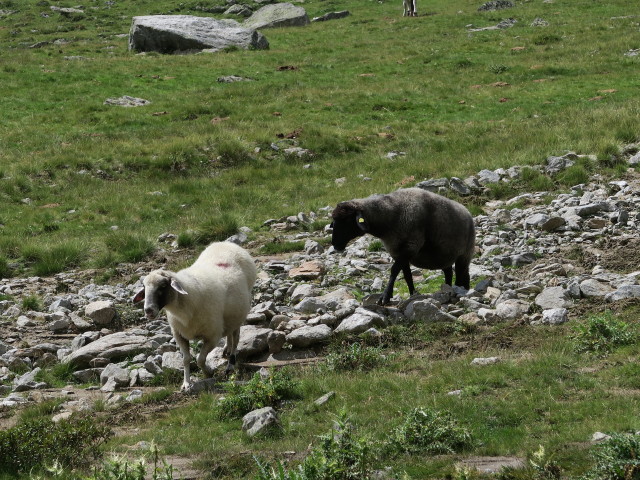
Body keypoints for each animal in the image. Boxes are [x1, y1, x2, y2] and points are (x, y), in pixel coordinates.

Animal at [134, 242, 256, 392]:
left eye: (163, 286)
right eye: (144, 287)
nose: (148, 311)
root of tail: (227, 243)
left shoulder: (212, 336)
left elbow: (200, 359)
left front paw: (208, 372)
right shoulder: (179, 334)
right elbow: (186, 359)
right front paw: (186, 383)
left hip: (239, 315)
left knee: (236, 339)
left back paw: (230, 365)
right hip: (229, 317)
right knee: (229, 334)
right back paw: (226, 349)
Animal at [332, 187, 472, 304]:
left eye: (346, 220)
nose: (335, 244)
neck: (390, 217)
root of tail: (467, 211)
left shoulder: (409, 247)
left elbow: (394, 270)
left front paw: (385, 296)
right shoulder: (398, 251)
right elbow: (407, 276)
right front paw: (412, 294)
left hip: (464, 254)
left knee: (462, 274)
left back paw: (459, 289)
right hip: (443, 256)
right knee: (449, 272)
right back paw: (447, 289)